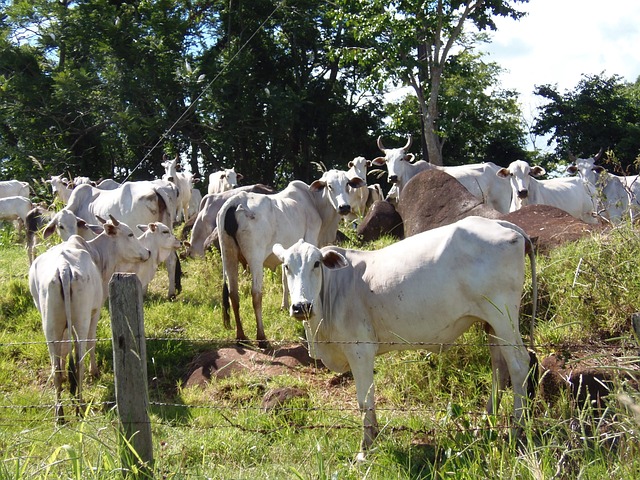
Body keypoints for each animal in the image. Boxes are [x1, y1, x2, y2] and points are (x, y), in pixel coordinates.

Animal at [28, 216, 150, 422]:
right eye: (130, 234)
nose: (147, 252)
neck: (97, 254)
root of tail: (64, 269)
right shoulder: (96, 310)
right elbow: (92, 342)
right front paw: (95, 372)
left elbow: (63, 351)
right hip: (82, 321)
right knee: (79, 361)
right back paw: (79, 407)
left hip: (50, 326)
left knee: (55, 368)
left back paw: (60, 414)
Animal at [272, 216, 536, 460]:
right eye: (286, 266)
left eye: (316, 264)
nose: (301, 306)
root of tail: (502, 224)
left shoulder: (360, 350)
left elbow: (364, 401)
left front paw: (365, 451)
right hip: (491, 324)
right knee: (500, 369)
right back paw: (483, 428)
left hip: (503, 316)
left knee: (519, 364)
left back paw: (517, 432)